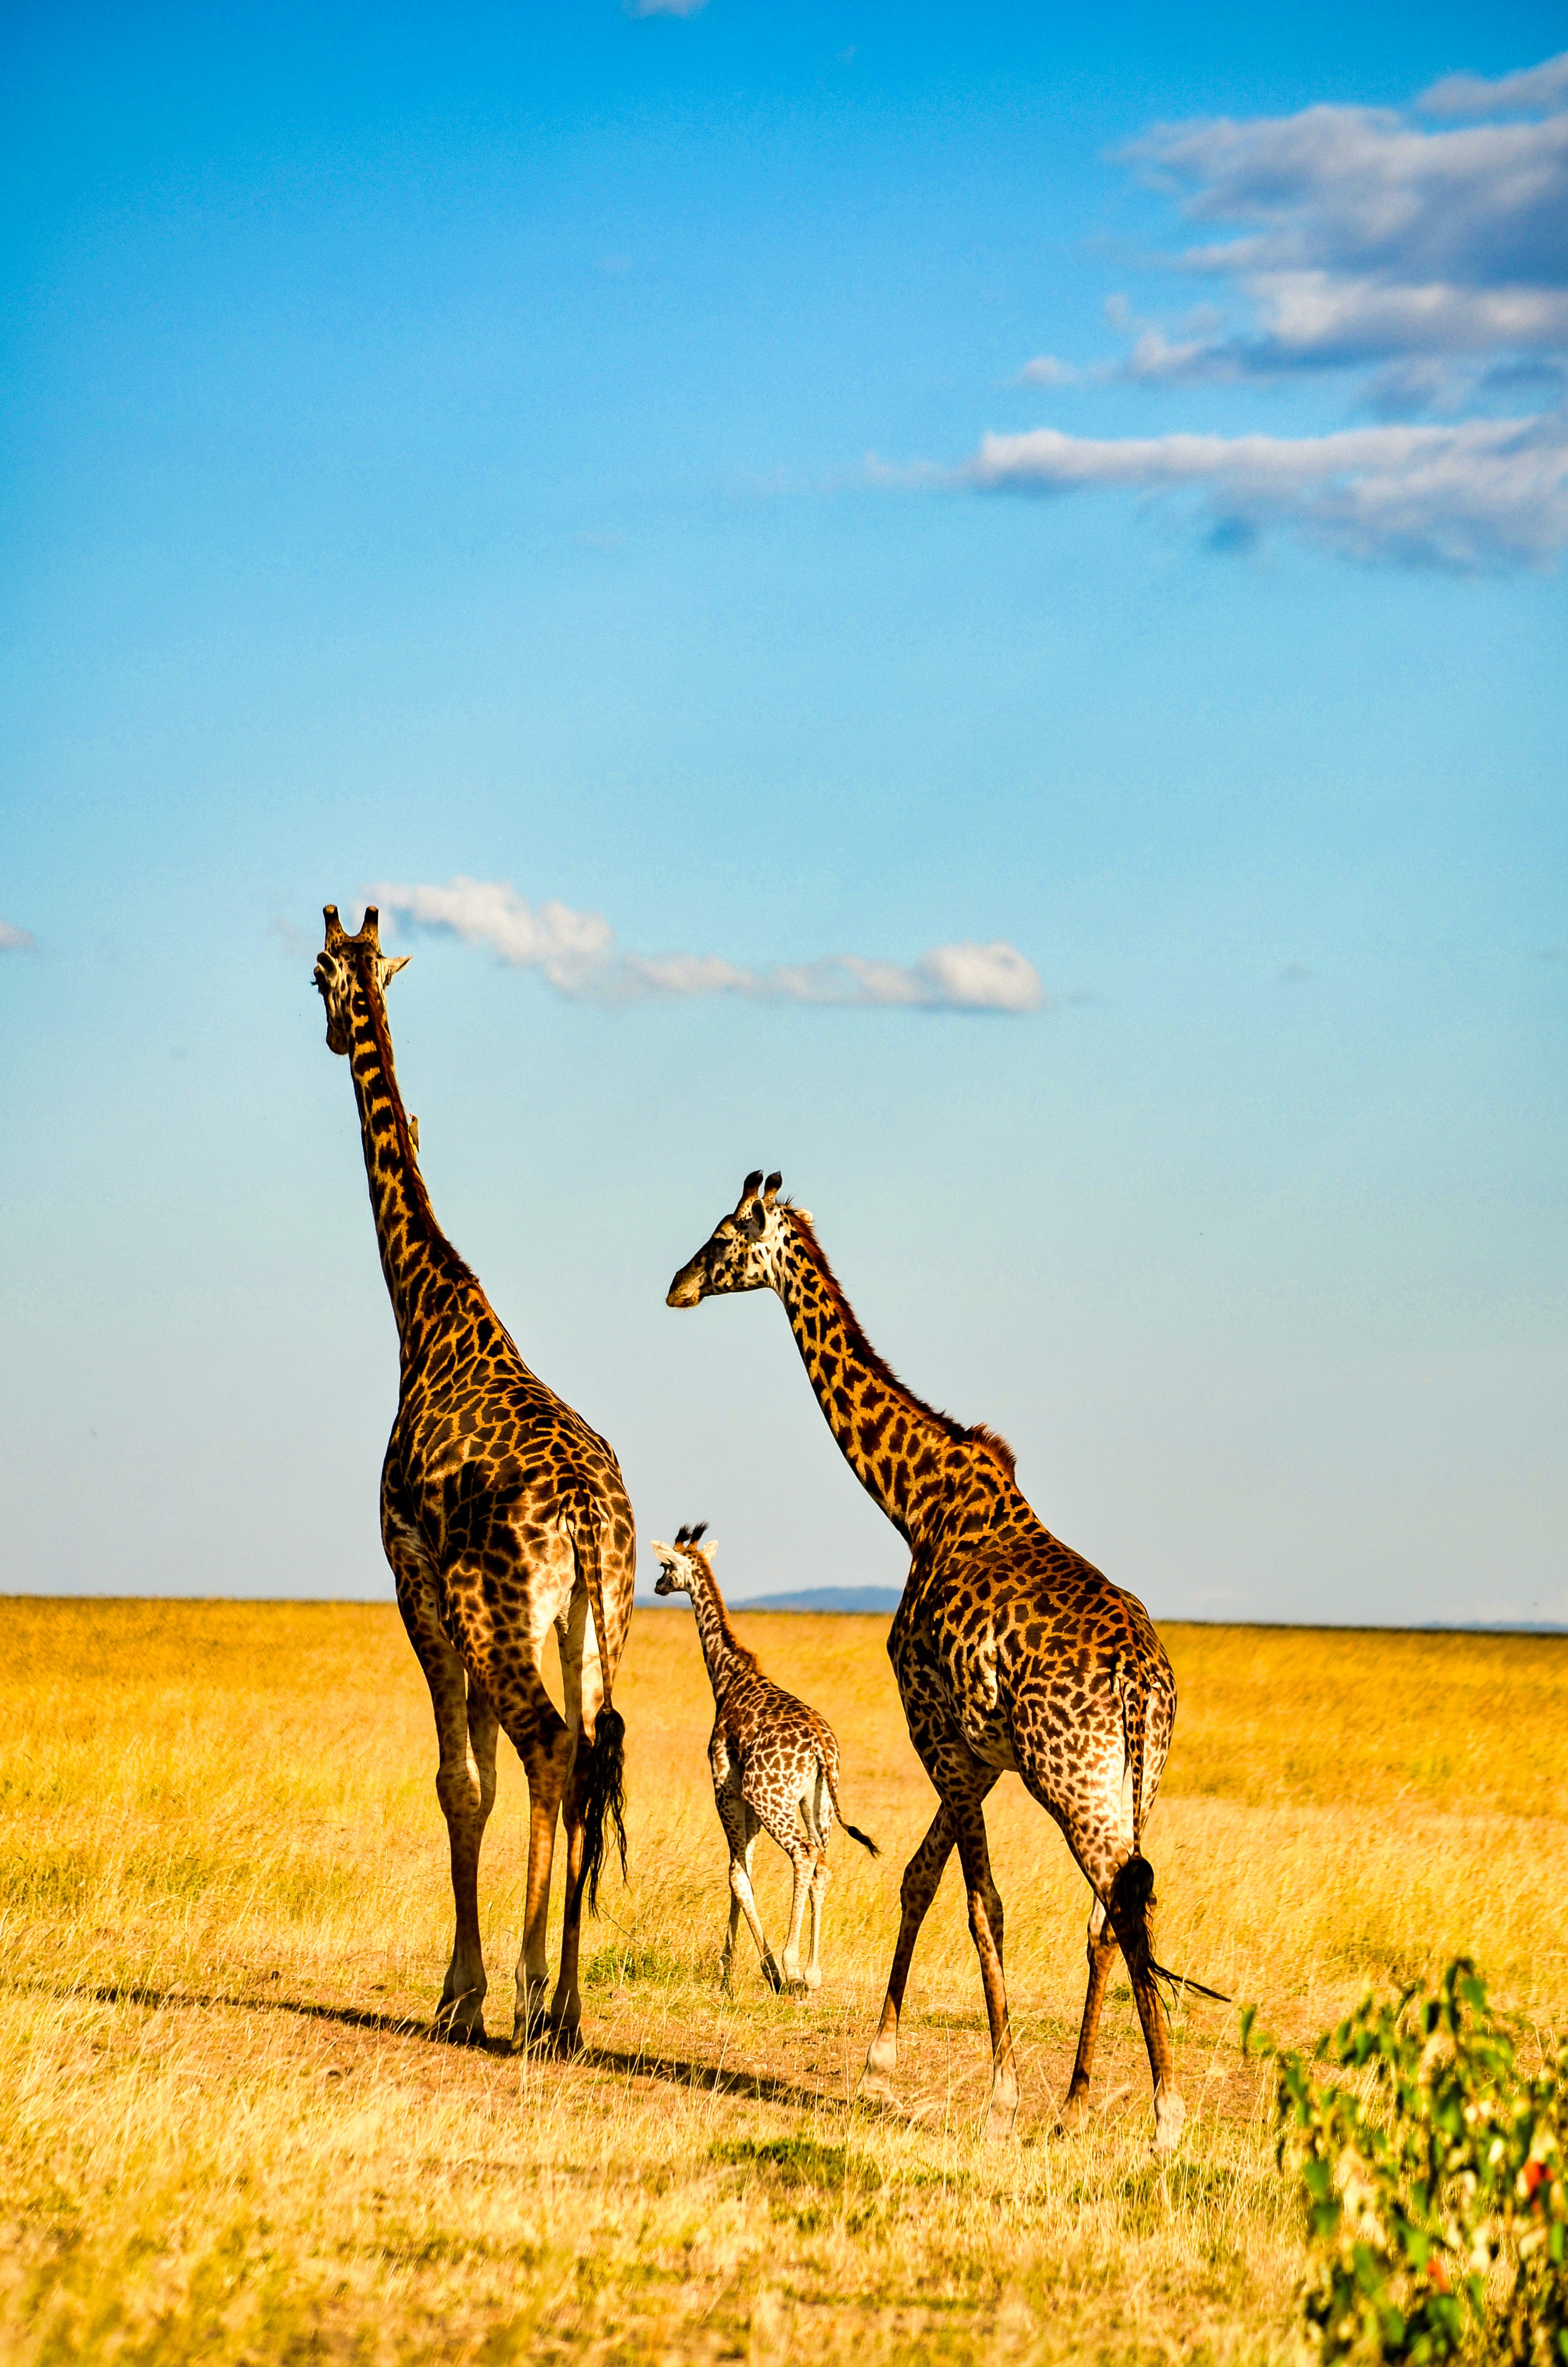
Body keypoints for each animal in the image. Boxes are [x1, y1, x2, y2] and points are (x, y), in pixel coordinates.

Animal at [310, 904, 635, 2054]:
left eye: (316, 973)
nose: (331, 1030)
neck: (427, 1312)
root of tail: (586, 1519)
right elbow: (486, 1780)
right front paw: (481, 1985)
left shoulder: (413, 1575)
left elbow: (461, 1781)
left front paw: (463, 1992)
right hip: (593, 1623)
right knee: (589, 1755)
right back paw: (570, 2005)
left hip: (492, 1612)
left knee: (552, 1750)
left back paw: (537, 1998)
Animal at [649, 1524, 876, 1988]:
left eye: (665, 1565)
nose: (656, 1586)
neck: (728, 1678)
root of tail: (821, 1747)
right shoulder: (745, 1799)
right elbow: (746, 1870)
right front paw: (729, 1967)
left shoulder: (726, 1786)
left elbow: (737, 1875)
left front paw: (755, 1967)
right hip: (818, 1802)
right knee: (822, 1862)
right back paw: (812, 1973)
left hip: (771, 1797)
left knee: (803, 1854)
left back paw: (789, 1964)